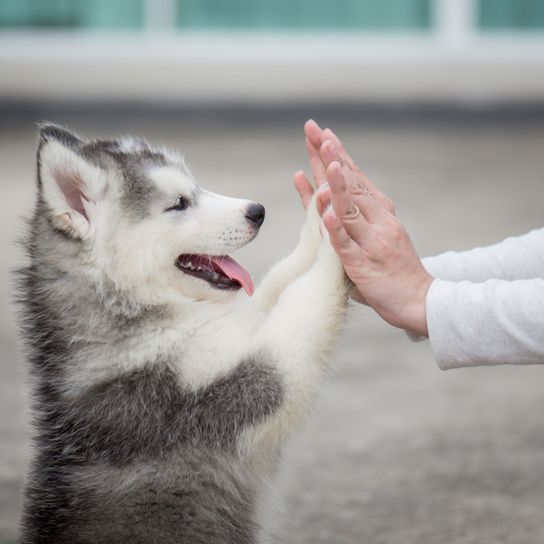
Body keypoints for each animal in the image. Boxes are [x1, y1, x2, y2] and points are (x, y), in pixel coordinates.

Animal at [17, 124, 350, 544]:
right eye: (178, 203)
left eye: (196, 186)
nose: (257, 211)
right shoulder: (229, 388)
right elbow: (304, 302)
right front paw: (339, 231)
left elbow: (278, 280)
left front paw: (320, 210)